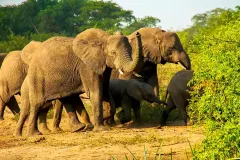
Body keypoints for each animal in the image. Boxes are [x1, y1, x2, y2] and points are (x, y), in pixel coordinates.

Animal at [14, 28, 142, 136]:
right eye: (113, 53)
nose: (138, 34)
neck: (103, 39)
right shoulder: (86, 66)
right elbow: (95, 92)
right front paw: (101, 129)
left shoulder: (103, 66)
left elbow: (105, 91)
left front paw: (107, 117)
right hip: (38, 76)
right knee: (37, 103)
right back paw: (33, 135)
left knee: (65, 98)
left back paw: (78, 128)